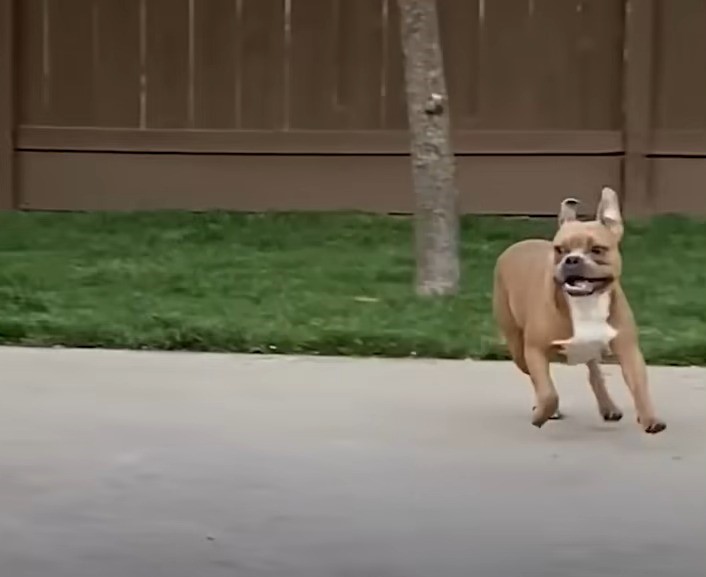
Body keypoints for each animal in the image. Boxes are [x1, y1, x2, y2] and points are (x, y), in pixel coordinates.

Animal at [490, 187, 664, 434]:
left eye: (597, 250)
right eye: (559, 250)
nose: (572, 259)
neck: (586, 302)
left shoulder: (628, 350)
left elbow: (639, 386)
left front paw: (649, 418)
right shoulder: (534, 350)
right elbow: (548, 392)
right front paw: (542, 414)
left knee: (594, 373)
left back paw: (608, 406)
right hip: (518, 349)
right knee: (538, 380)